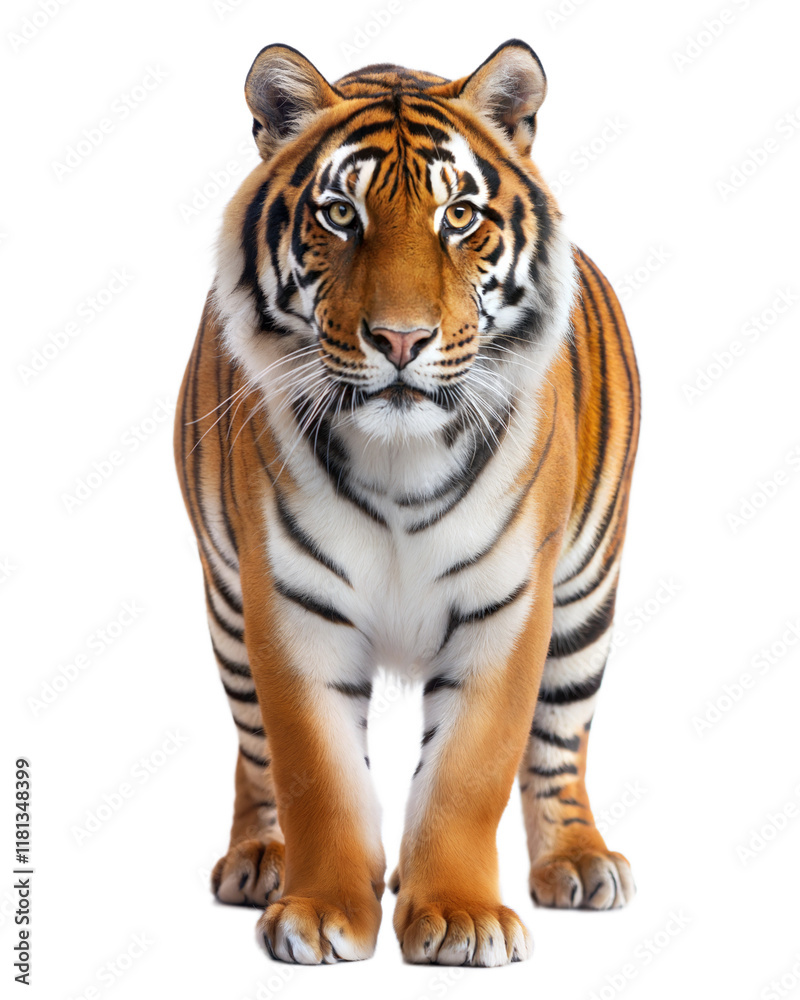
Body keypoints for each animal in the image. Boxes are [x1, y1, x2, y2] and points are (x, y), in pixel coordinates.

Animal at [174, 38, 640, 967]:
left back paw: (579, 863)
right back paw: (259, 861)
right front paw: (321, 911)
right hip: (227, 608)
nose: (399, 339)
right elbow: (315, 773)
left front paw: (459, 916)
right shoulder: (288, 607)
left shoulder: (511, 605)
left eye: (458, 216)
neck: (400, 458)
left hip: (586, 601)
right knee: (254, 752)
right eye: (339, 216)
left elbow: (470, 770)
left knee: (560, 742)